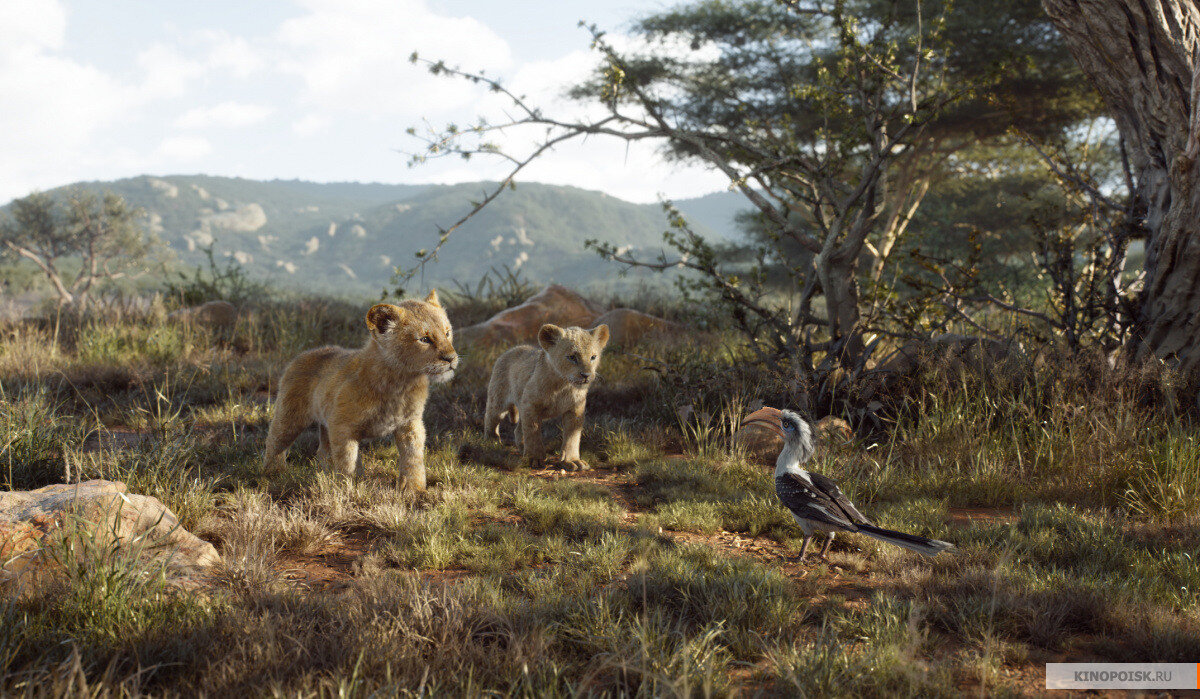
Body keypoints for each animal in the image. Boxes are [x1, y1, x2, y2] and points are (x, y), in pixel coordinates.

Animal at [262, 290, 457, 489]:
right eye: (425, 339)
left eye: (447, 333)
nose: (451, 358)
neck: (401, 384)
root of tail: (302, 355)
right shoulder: (342, 426)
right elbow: (347, 461)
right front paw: (346, 488)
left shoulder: (410, 424)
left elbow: (413, 459)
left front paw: (414, 490)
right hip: (290, 417)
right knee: (274, 442)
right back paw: (273, 474)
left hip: (324, 422)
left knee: (323, 451)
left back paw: (324, 475)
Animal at [483, 323, 609, 471]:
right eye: (572, 357)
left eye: (593, 357)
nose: (586, 375)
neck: (563, 386)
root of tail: (512, 349)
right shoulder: (530, 405)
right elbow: (533, 432)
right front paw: (535, 459)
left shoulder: (575, 409)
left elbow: (573, 436)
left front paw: (572, 460)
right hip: (498, 399)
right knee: (491, 417)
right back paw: (492, 442)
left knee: (518, 430)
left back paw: (522, 448)